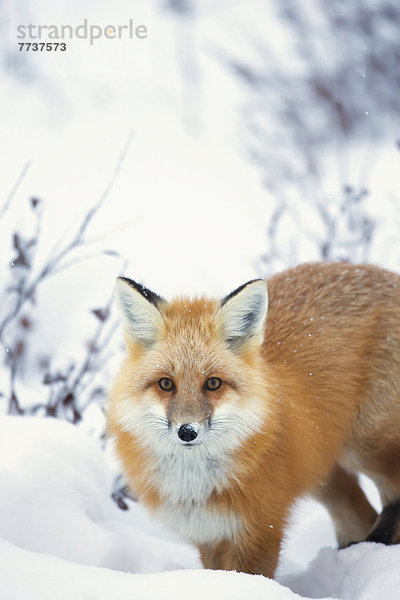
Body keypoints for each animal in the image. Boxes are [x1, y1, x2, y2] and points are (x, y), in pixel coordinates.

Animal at [107, 264, 400, 580]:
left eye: (213, 383)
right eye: (165, 384)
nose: (187, 431)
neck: (197, 485)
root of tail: (387, 276)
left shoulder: (261, 530)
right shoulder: (208, 533)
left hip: (366, 449)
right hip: (324, 473)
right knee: (361, 515)